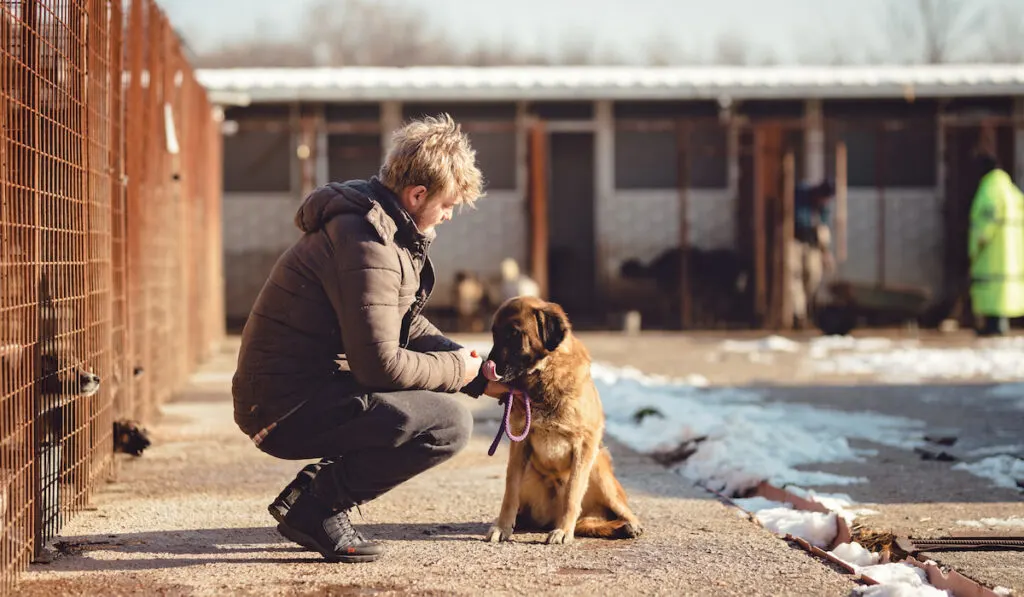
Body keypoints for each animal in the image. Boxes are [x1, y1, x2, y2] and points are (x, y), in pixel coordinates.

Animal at [479, 296, 638, 544]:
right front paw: (502, 527)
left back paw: (629, 526)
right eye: (494, 333)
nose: (487, 367)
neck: (545, 375)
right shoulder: (519, 447)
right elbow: (510, 492)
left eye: (514, 333)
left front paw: (563, 530)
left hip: (599, 469)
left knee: (620, 512)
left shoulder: (585, 445)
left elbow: (572, 493)